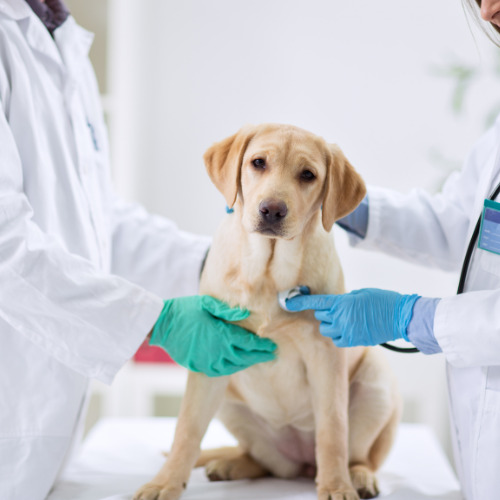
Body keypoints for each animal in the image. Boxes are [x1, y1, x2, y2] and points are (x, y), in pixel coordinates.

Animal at [134, 122, 402, 500]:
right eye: (258, 163)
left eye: (308, 175)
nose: (272, 209)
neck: (267, 271)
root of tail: (303, 463)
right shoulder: (209, 355)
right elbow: (186, 429)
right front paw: (165, 483)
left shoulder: (326, 357)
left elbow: (333, 430)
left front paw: (337, 486)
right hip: (231, 402)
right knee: (266, 462)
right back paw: (231, 464)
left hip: (375, 381)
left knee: (358, 455)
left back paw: (358, 477)